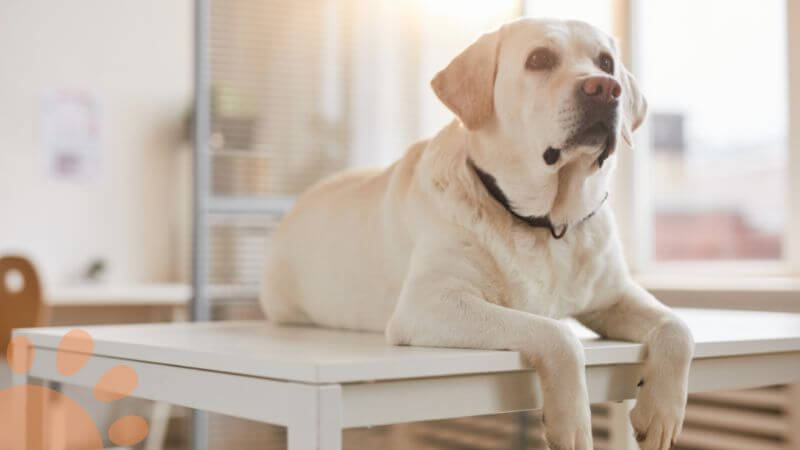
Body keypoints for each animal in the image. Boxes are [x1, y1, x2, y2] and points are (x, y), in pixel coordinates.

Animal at [262, 17, 692, 450]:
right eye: (539, 59)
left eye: (605, 62)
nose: (605, 87)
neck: (544, 220)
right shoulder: (429, 304)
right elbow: (556, 333)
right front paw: (571, 424)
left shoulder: (614, 294)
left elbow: (678, 327)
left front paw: (662, 415)